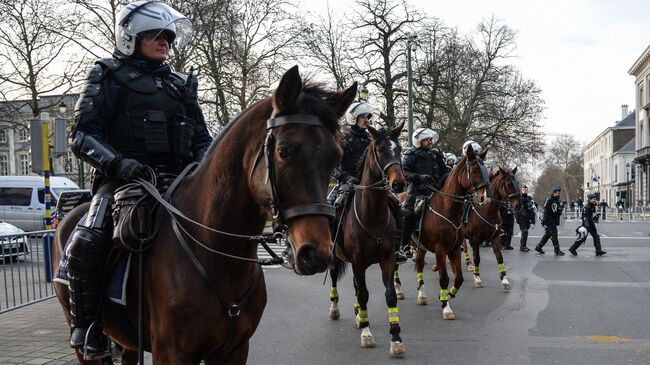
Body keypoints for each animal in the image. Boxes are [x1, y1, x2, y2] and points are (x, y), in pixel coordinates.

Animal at [52, 66, 354, 364]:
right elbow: (84, 131)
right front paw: (131, 167)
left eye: (336, 157)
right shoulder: (172, 354)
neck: (217, 252)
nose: (316, 253)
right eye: (284, 151)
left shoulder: (234, 350)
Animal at [326, 123, 402, 356]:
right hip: (336, 257)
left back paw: (359, 315)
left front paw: (396, 339)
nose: (399, 183)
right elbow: (364, 295)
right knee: (336, 277)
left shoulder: (387, 259)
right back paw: (335, 309)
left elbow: (389, 295)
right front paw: (367, 335)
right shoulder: (358, 262)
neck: (373, 215)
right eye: (380, 150)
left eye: (399, 149)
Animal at [392, 146, 488, 318]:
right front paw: (446, 307)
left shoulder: (454, 249)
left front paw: (446, 296)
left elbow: (459, 278)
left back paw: (421, 295)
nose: (483, 197)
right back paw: (398, 290)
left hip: (421, 247)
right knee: (396, 266)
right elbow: (444, 278)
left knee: (419, 265)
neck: (447, 209)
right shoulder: (440, 250)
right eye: (475, 169)